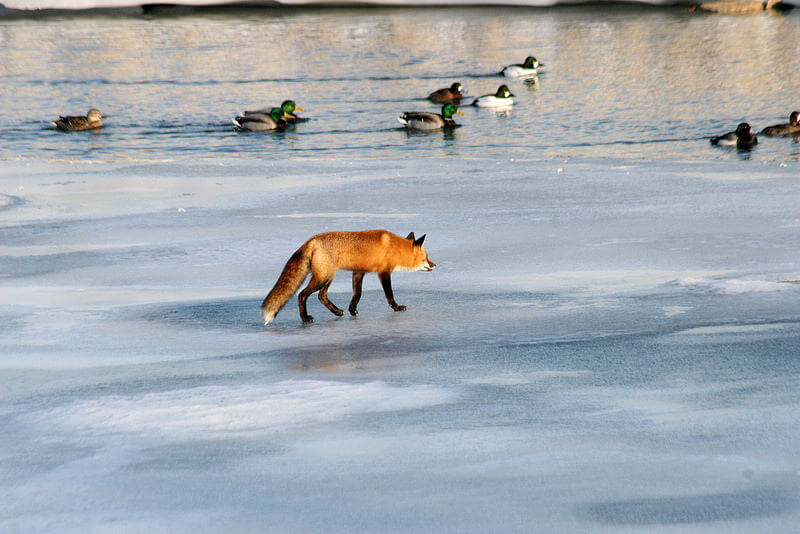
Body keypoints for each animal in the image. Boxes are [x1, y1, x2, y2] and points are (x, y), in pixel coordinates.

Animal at [260, 231, 438, 326]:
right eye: (426, 257)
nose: (435, 265)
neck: (395, 248)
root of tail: (311, 240)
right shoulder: (383, 272)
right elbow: (389, 294)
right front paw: (397, 307)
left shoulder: (358, 272)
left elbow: (357, 294)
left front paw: (352, 310)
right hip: (323, 277)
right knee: (302, 294)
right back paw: (305, 318)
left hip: (329, 276)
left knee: (321, 296)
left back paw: (337, 312)